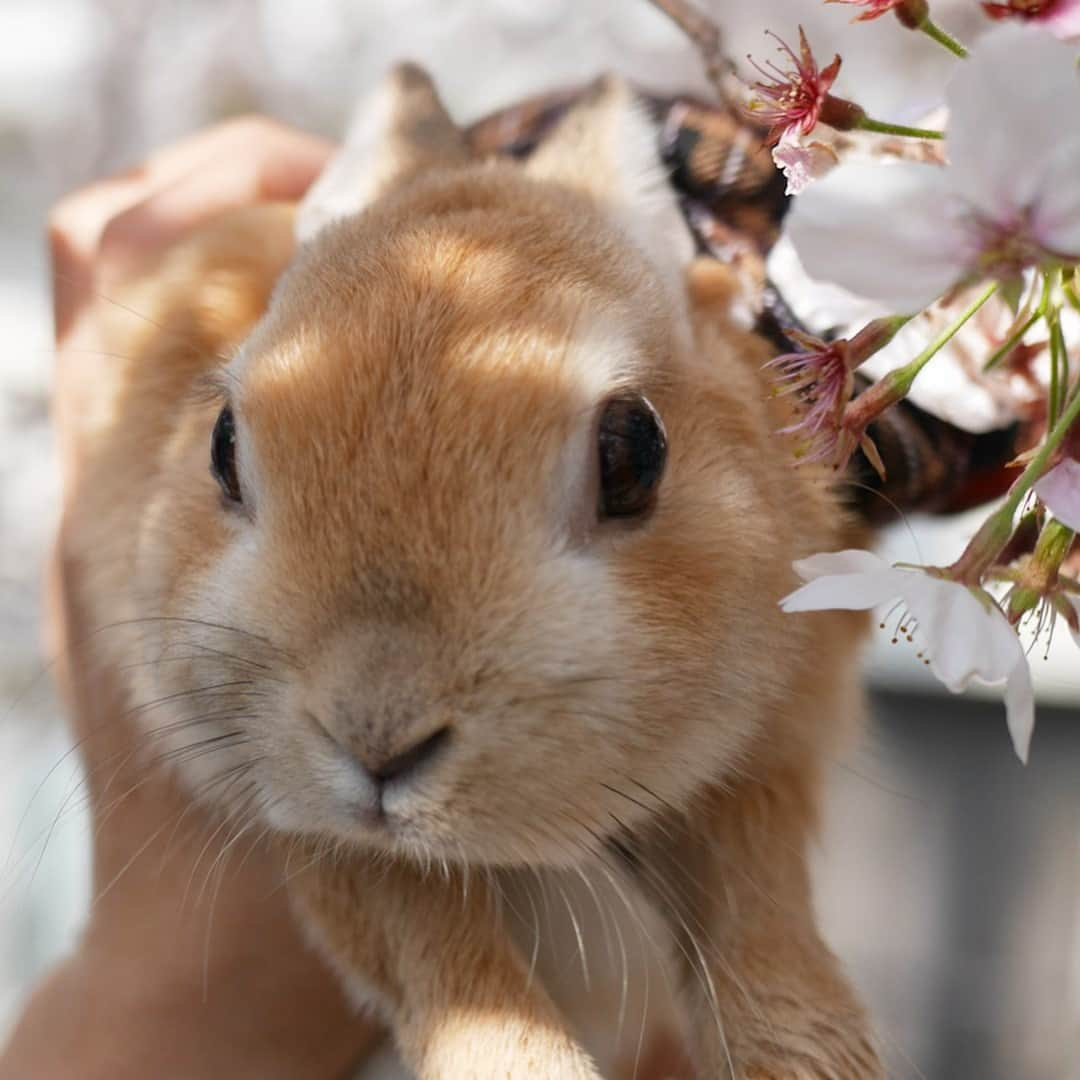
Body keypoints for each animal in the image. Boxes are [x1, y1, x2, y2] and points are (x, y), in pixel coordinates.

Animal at [59, 65, 881, 1080]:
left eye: (634, 452)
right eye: (220, 443)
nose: (375, 736)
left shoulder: (763, 756)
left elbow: (760, 908)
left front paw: (815, 1058)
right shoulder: (312, 830)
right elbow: (440, 957)